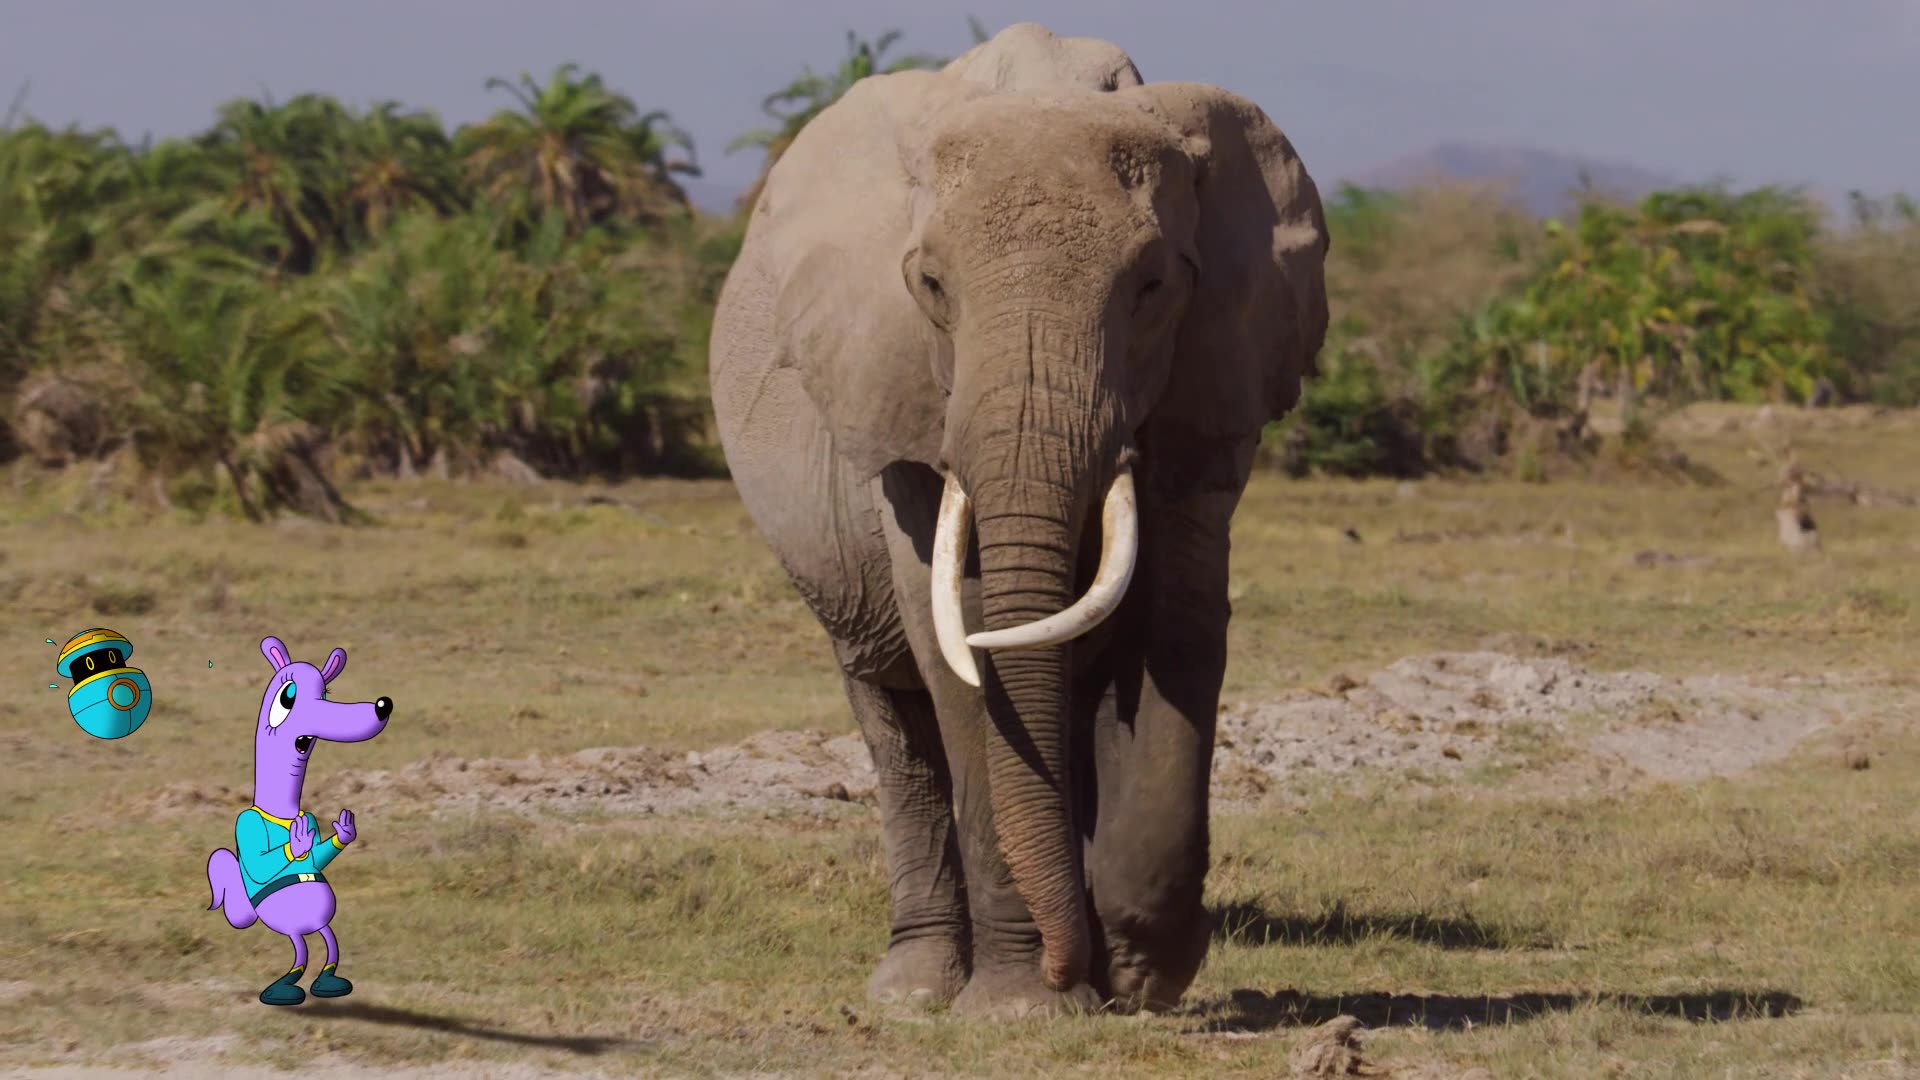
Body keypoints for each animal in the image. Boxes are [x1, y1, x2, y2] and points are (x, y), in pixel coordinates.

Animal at [709, 23, 1329, 1018]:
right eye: (929, 284)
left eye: (1153, 286)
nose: (1075, 971)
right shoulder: (900, 395)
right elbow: (957, 641)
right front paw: (1020, 1005)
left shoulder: (1215, 370)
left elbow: (1179, 622)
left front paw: (1142, 972)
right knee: (894, 716)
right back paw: (916, 988)